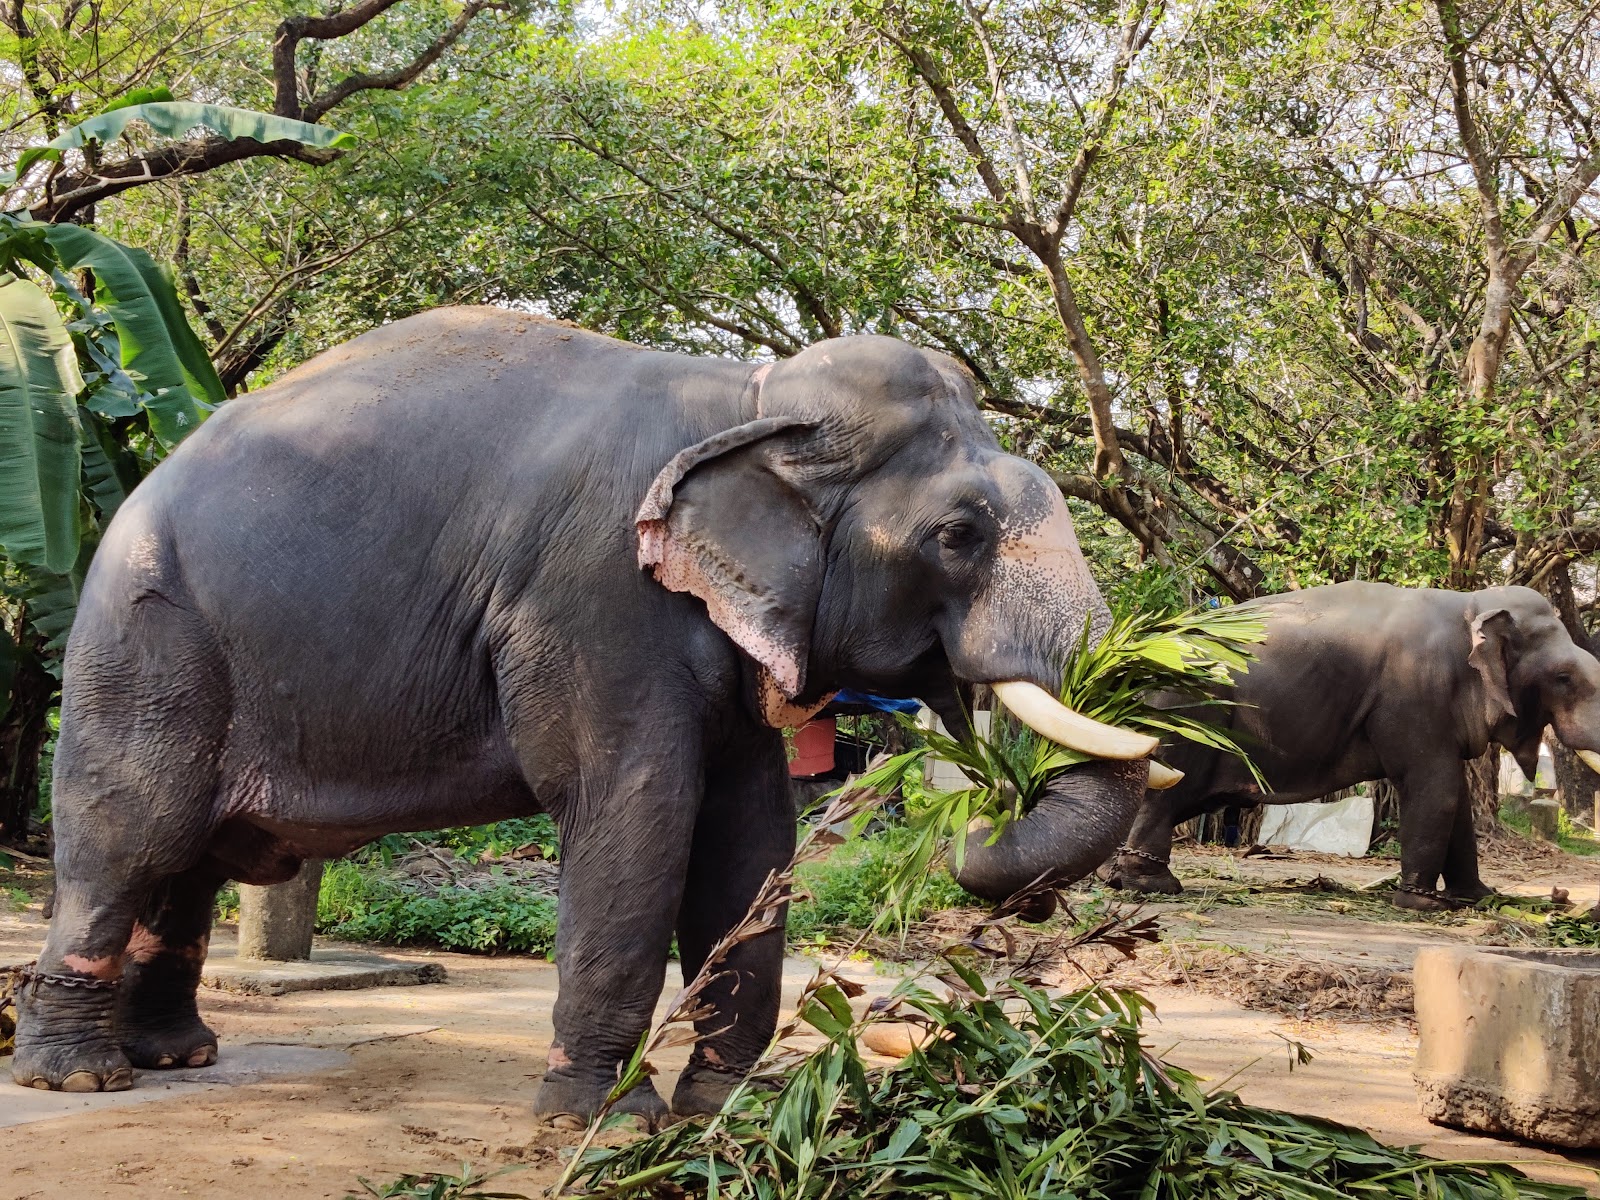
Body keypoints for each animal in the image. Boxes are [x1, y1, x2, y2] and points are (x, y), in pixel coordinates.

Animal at [13, 308, 1165, 1122]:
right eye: (958, 536)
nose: (980, 819)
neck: (751, 398)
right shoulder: (594, 598)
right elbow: (636, 807)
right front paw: (602, 1122)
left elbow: (751, 837)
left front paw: (729, 1112)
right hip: (145, 644)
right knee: (131, 834)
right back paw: (82, 1080)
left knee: (190, 861)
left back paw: (177, 1055)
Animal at [1104, 582, 1600, 910]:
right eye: (1564, 678)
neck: (1472, 602)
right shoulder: (1415, 695)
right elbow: (1433, 791)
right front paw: (1422, 906)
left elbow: (1455, 800)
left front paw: (1478, 898)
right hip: (1184, 716)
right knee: (1166, 792)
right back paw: (1154, 887)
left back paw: (1119, 880)